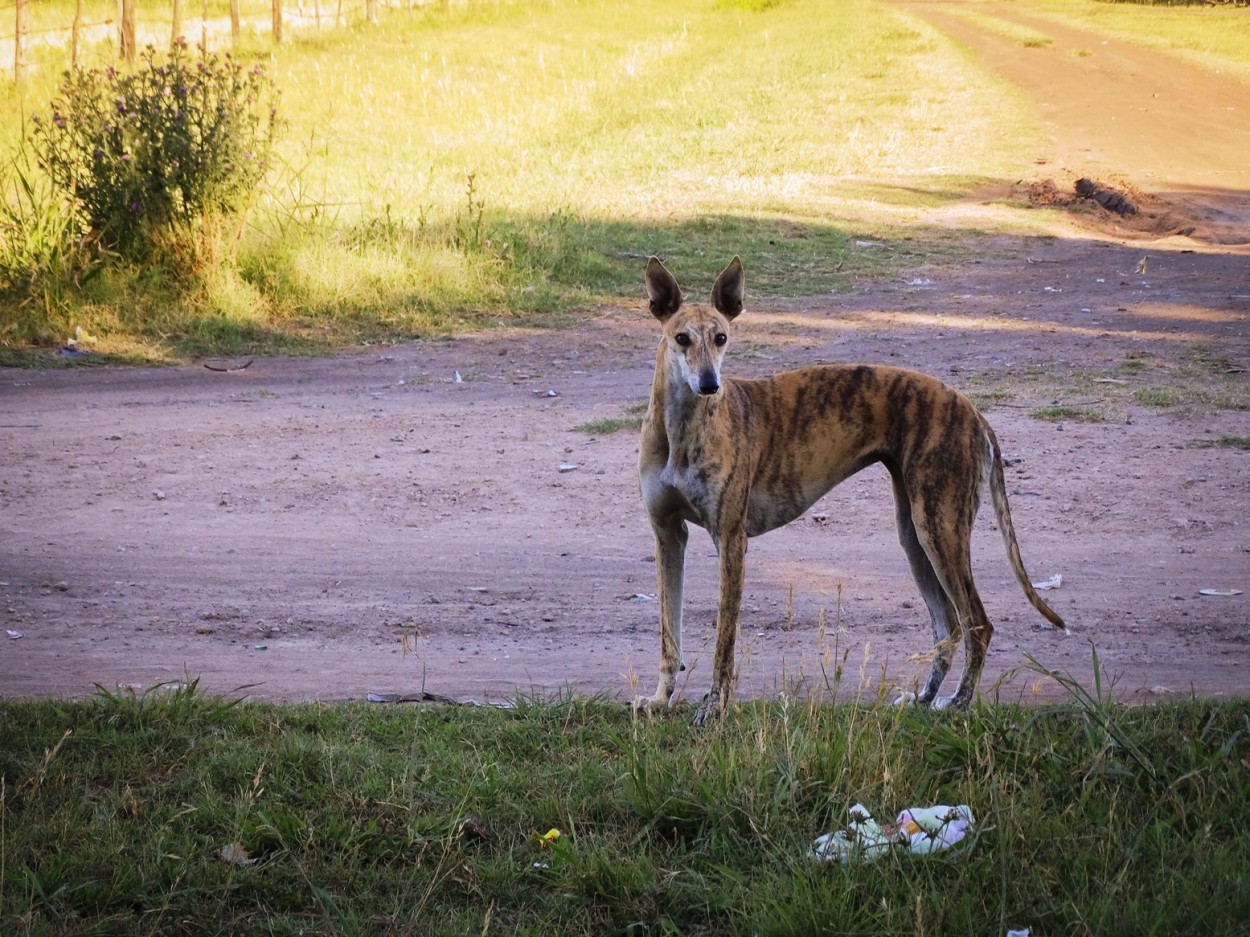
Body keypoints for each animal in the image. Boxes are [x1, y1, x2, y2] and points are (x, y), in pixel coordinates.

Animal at [635, 257, 1065, 724]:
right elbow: (668, 634)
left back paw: (957, 703)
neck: (683, 430)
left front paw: (714, 707)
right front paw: (658, 699)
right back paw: (924, 699)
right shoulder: (668, 535)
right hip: (916, 536)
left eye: (721, 338)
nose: (710, 384)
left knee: (978, 624)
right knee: (948, 625)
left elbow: (724, 640)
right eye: (682, 338)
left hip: (941, 529)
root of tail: (973, 411)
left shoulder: (730, 540)